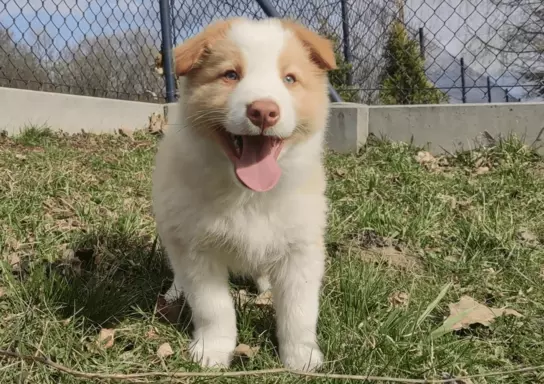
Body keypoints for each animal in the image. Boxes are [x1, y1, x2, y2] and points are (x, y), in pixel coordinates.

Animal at [152, 16, 336, 370]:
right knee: (178, 270)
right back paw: (174, 291)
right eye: (230, 75)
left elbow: (300, 311)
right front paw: (213, 351)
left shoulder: (301, 248)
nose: (263, 111)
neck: (248, 195)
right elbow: (214, 308)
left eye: (289, 78)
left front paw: (301, 357)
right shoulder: (197, 249)